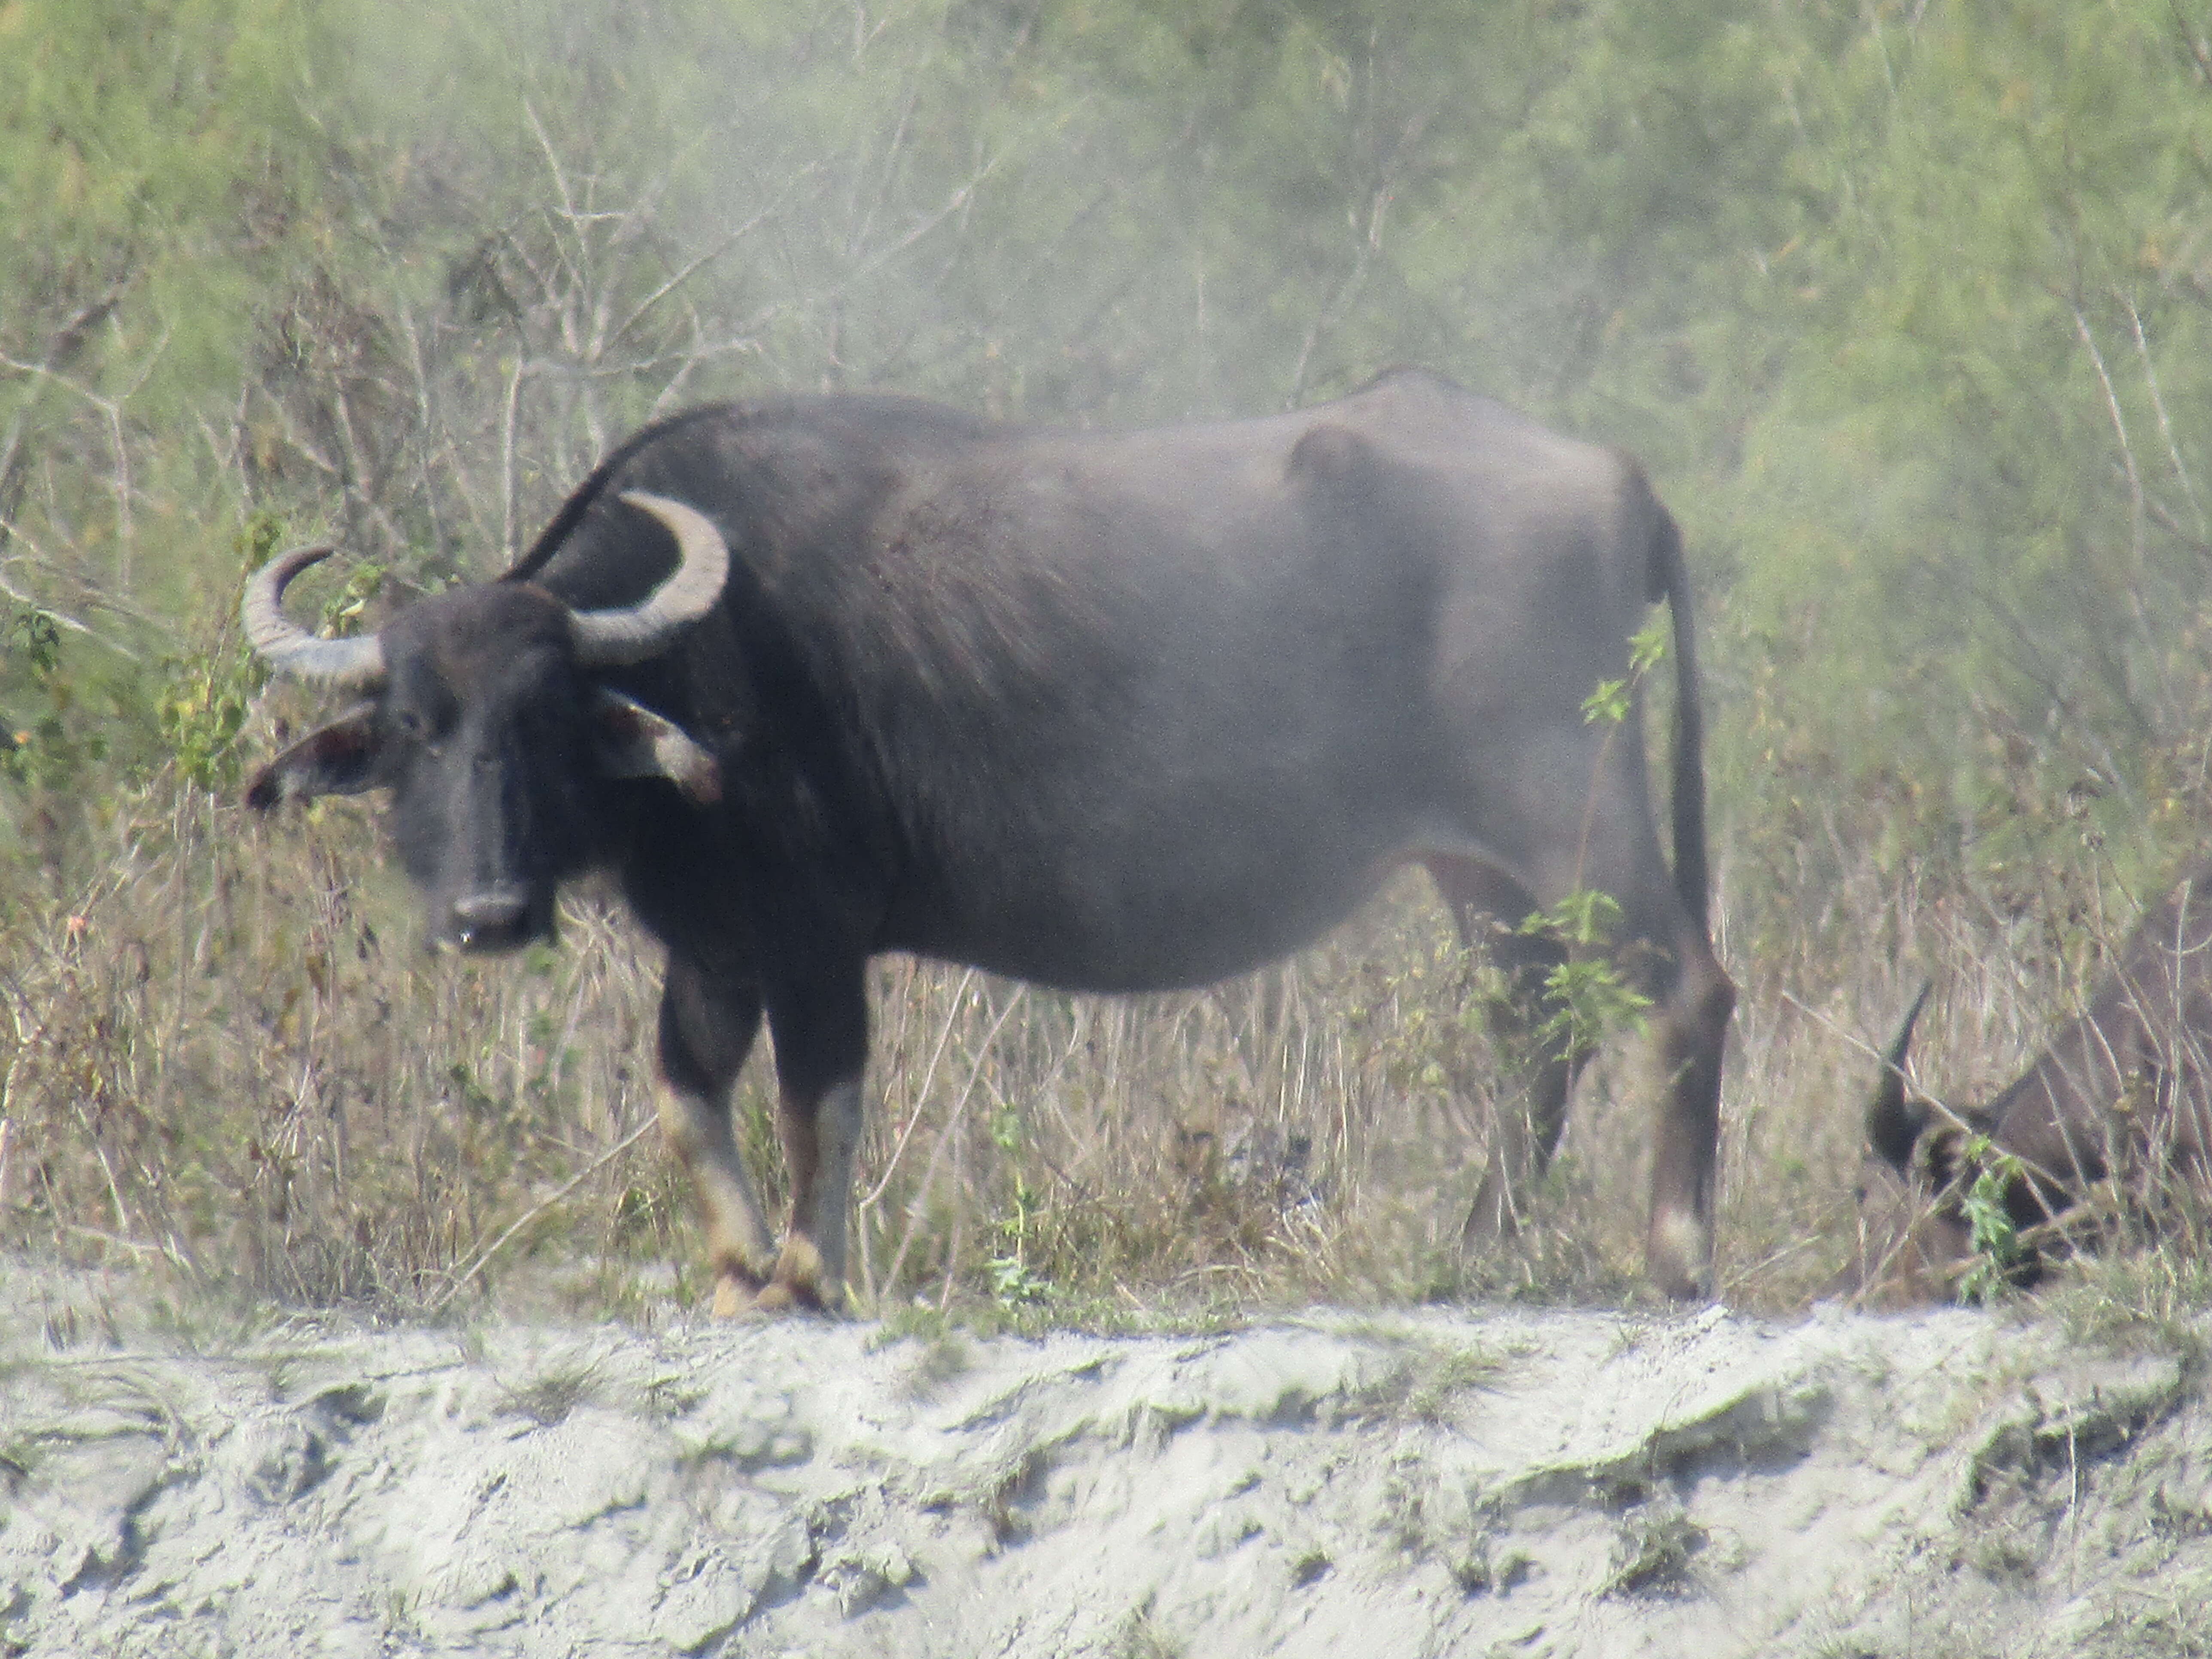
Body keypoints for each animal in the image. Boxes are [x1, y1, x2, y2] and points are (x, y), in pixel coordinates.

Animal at [242, 374, 1725, 1309]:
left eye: (549, 717)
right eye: (417, 726)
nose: (488, 912)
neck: (701, 669)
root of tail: (1614, 479)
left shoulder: (816, 937)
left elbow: (818, 1103)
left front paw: (808, 1274)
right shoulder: (716, 950)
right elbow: (686, 1101)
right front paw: (737, 1276)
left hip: (1576, 814)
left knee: (1686, 991)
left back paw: (1676, 1251)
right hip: (1480, 872)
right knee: (1534, 1032)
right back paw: (1479, 1251)